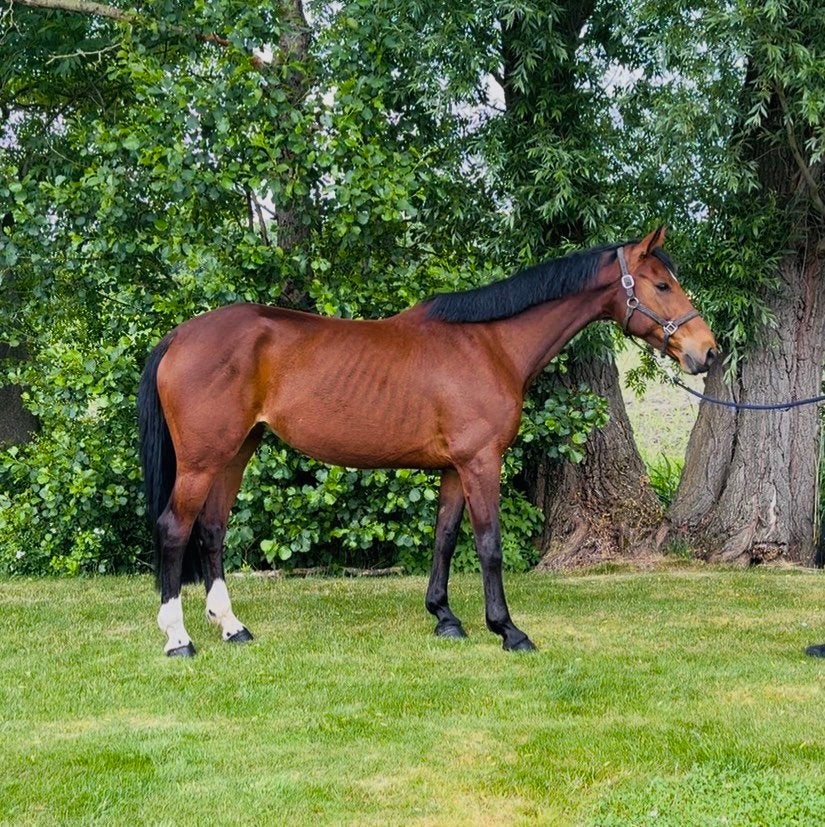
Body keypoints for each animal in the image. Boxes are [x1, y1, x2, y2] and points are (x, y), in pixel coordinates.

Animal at [138, 226, 718, 657]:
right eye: (662, 285)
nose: (708, 352)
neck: (489, 345)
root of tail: (179, 336)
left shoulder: (454, 468)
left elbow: (444, 537)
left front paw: (445, 618)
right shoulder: (482, 463)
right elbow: (488, 545)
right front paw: (508, 630)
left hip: (236, 451)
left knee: (212, 531)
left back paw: (232, 627)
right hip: (202, 460)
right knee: (175, 529)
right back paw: (179, 638)